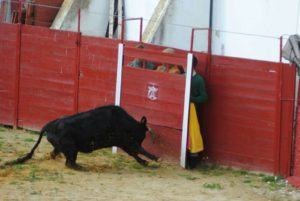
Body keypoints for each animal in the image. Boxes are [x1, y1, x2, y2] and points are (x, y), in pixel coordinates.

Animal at [4, 105, 159, 170]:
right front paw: (155, 159)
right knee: (70, 163)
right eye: (143, 133)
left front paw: (146, 162)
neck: (126, 122)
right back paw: (82, 167)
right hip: (71, 149)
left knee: (55, 155)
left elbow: (134, 153)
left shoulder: (123, 142)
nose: (142, 140)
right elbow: (138, 150)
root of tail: (49, 125)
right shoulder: (125, 140)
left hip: (62, 148)